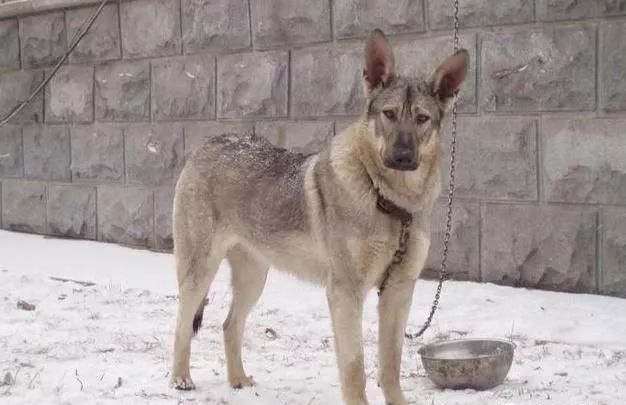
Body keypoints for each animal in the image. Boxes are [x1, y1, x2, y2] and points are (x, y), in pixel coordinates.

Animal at [168, 29, 466, 404]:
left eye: (422, 119)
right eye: (389, 114)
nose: (401, 157)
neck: (389, 200)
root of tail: (208, 144)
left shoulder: (399, 292)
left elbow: (390, 365)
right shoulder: (345, 293)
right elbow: (355, 368)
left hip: (254, 279)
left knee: (228, 325)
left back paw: (239, 381)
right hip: (200, 272)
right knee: (181, 323)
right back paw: (180, 379)